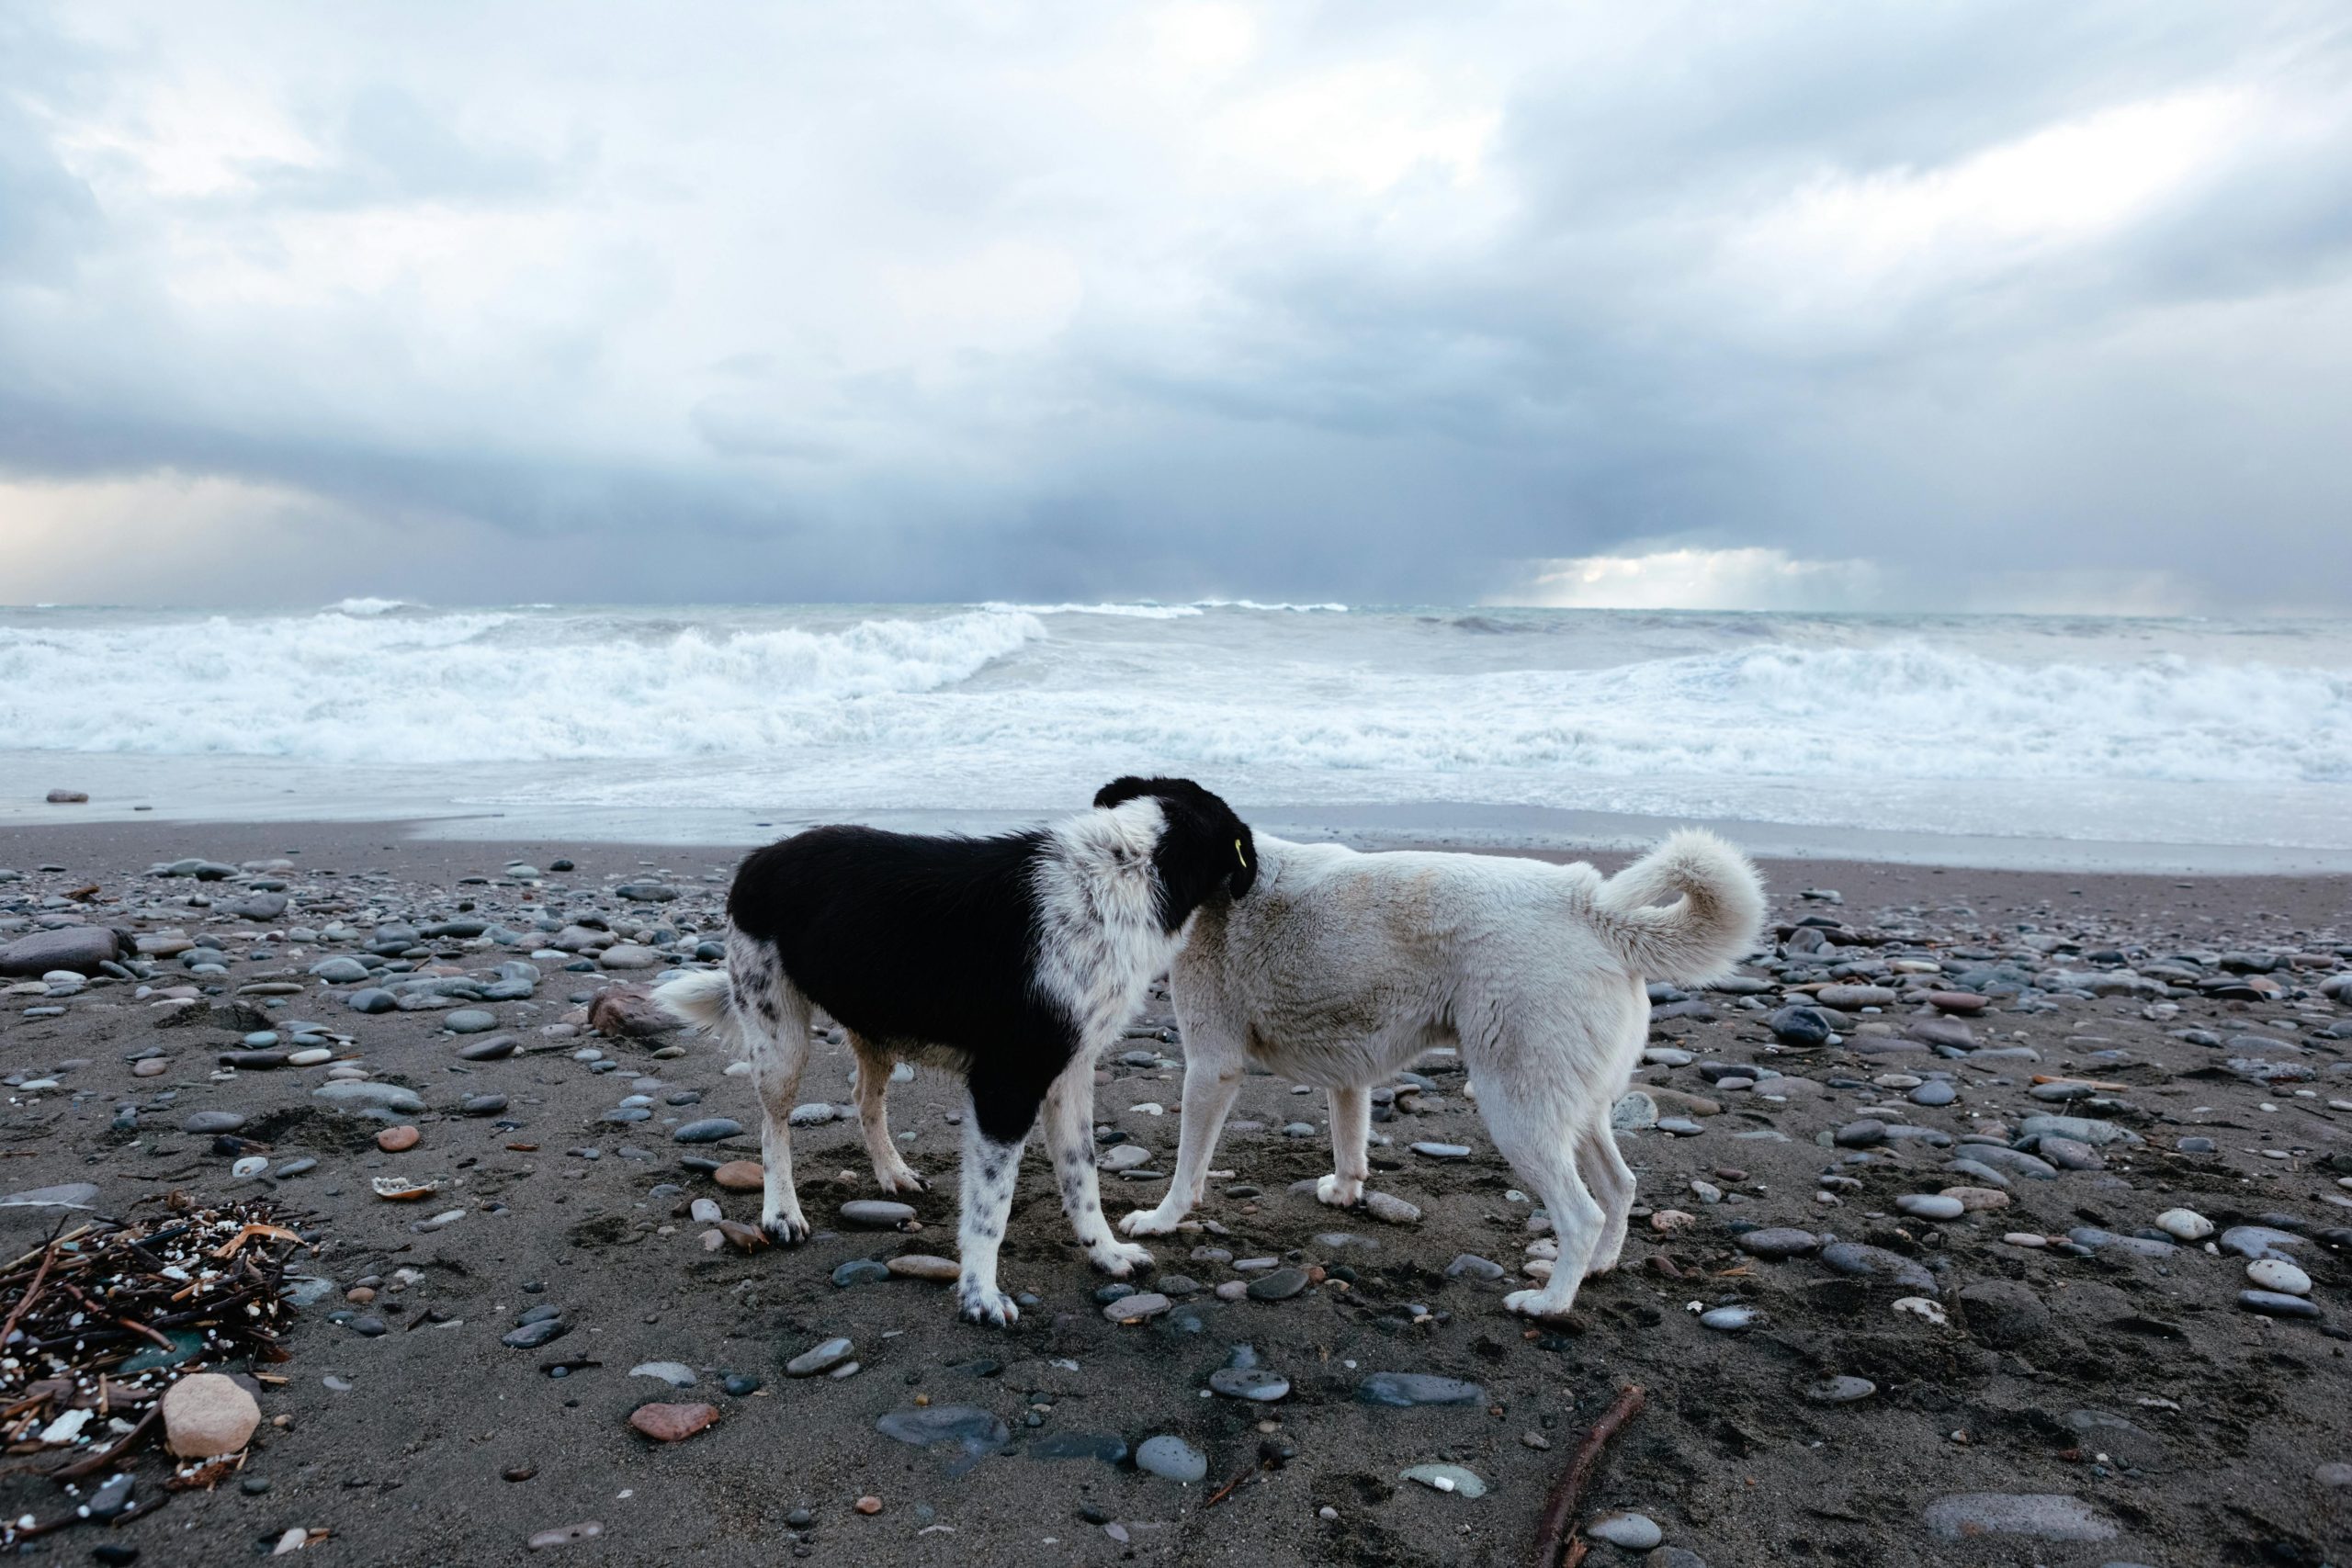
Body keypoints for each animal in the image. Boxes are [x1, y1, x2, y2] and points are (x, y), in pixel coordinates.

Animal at [653, 771, 1261, 1325]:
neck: (1129, 870)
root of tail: (760, 856)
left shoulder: (1069, 1075)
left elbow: (1082, 1175)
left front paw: (1106, 1253)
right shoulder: (1005, 1086)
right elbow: (991, 1210)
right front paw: (979, 1294)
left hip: (877, 1025)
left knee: (865, 1099)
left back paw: (893, 1173)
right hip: (778, 1033)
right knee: (773, 1123)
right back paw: (782, 1211)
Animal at [1119, 827, 1769, 1316]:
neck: (1228, 878)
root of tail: (1595, 912)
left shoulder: (1211, 1069)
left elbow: (1187, 1170)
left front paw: (1160, 1220)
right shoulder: (1348, 1072)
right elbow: (1350, 1141)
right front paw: (1345, 1193)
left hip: (1517, 1110)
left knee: (1582, 1214)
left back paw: (1549, 1303)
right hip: (1575, 1106)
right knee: (1620, 1187)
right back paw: (1600, 1267)